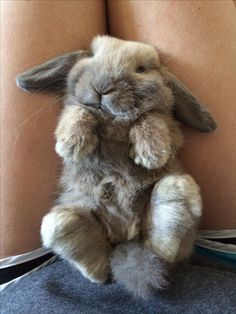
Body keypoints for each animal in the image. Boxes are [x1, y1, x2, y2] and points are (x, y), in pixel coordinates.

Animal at [15, 35, 217, 298]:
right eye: (91, 56)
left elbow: (150, 117)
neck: (111, 121)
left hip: (178, 186)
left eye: (141, 69)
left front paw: (152, 154)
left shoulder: (168, 125)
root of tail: (124, 238)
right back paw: (99, 273)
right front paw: (71, 145)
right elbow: (79, 110)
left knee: (164, 242)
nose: (102, 87)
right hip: (60, 219)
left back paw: (159, 248)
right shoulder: (73, 109)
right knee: (67, 230)